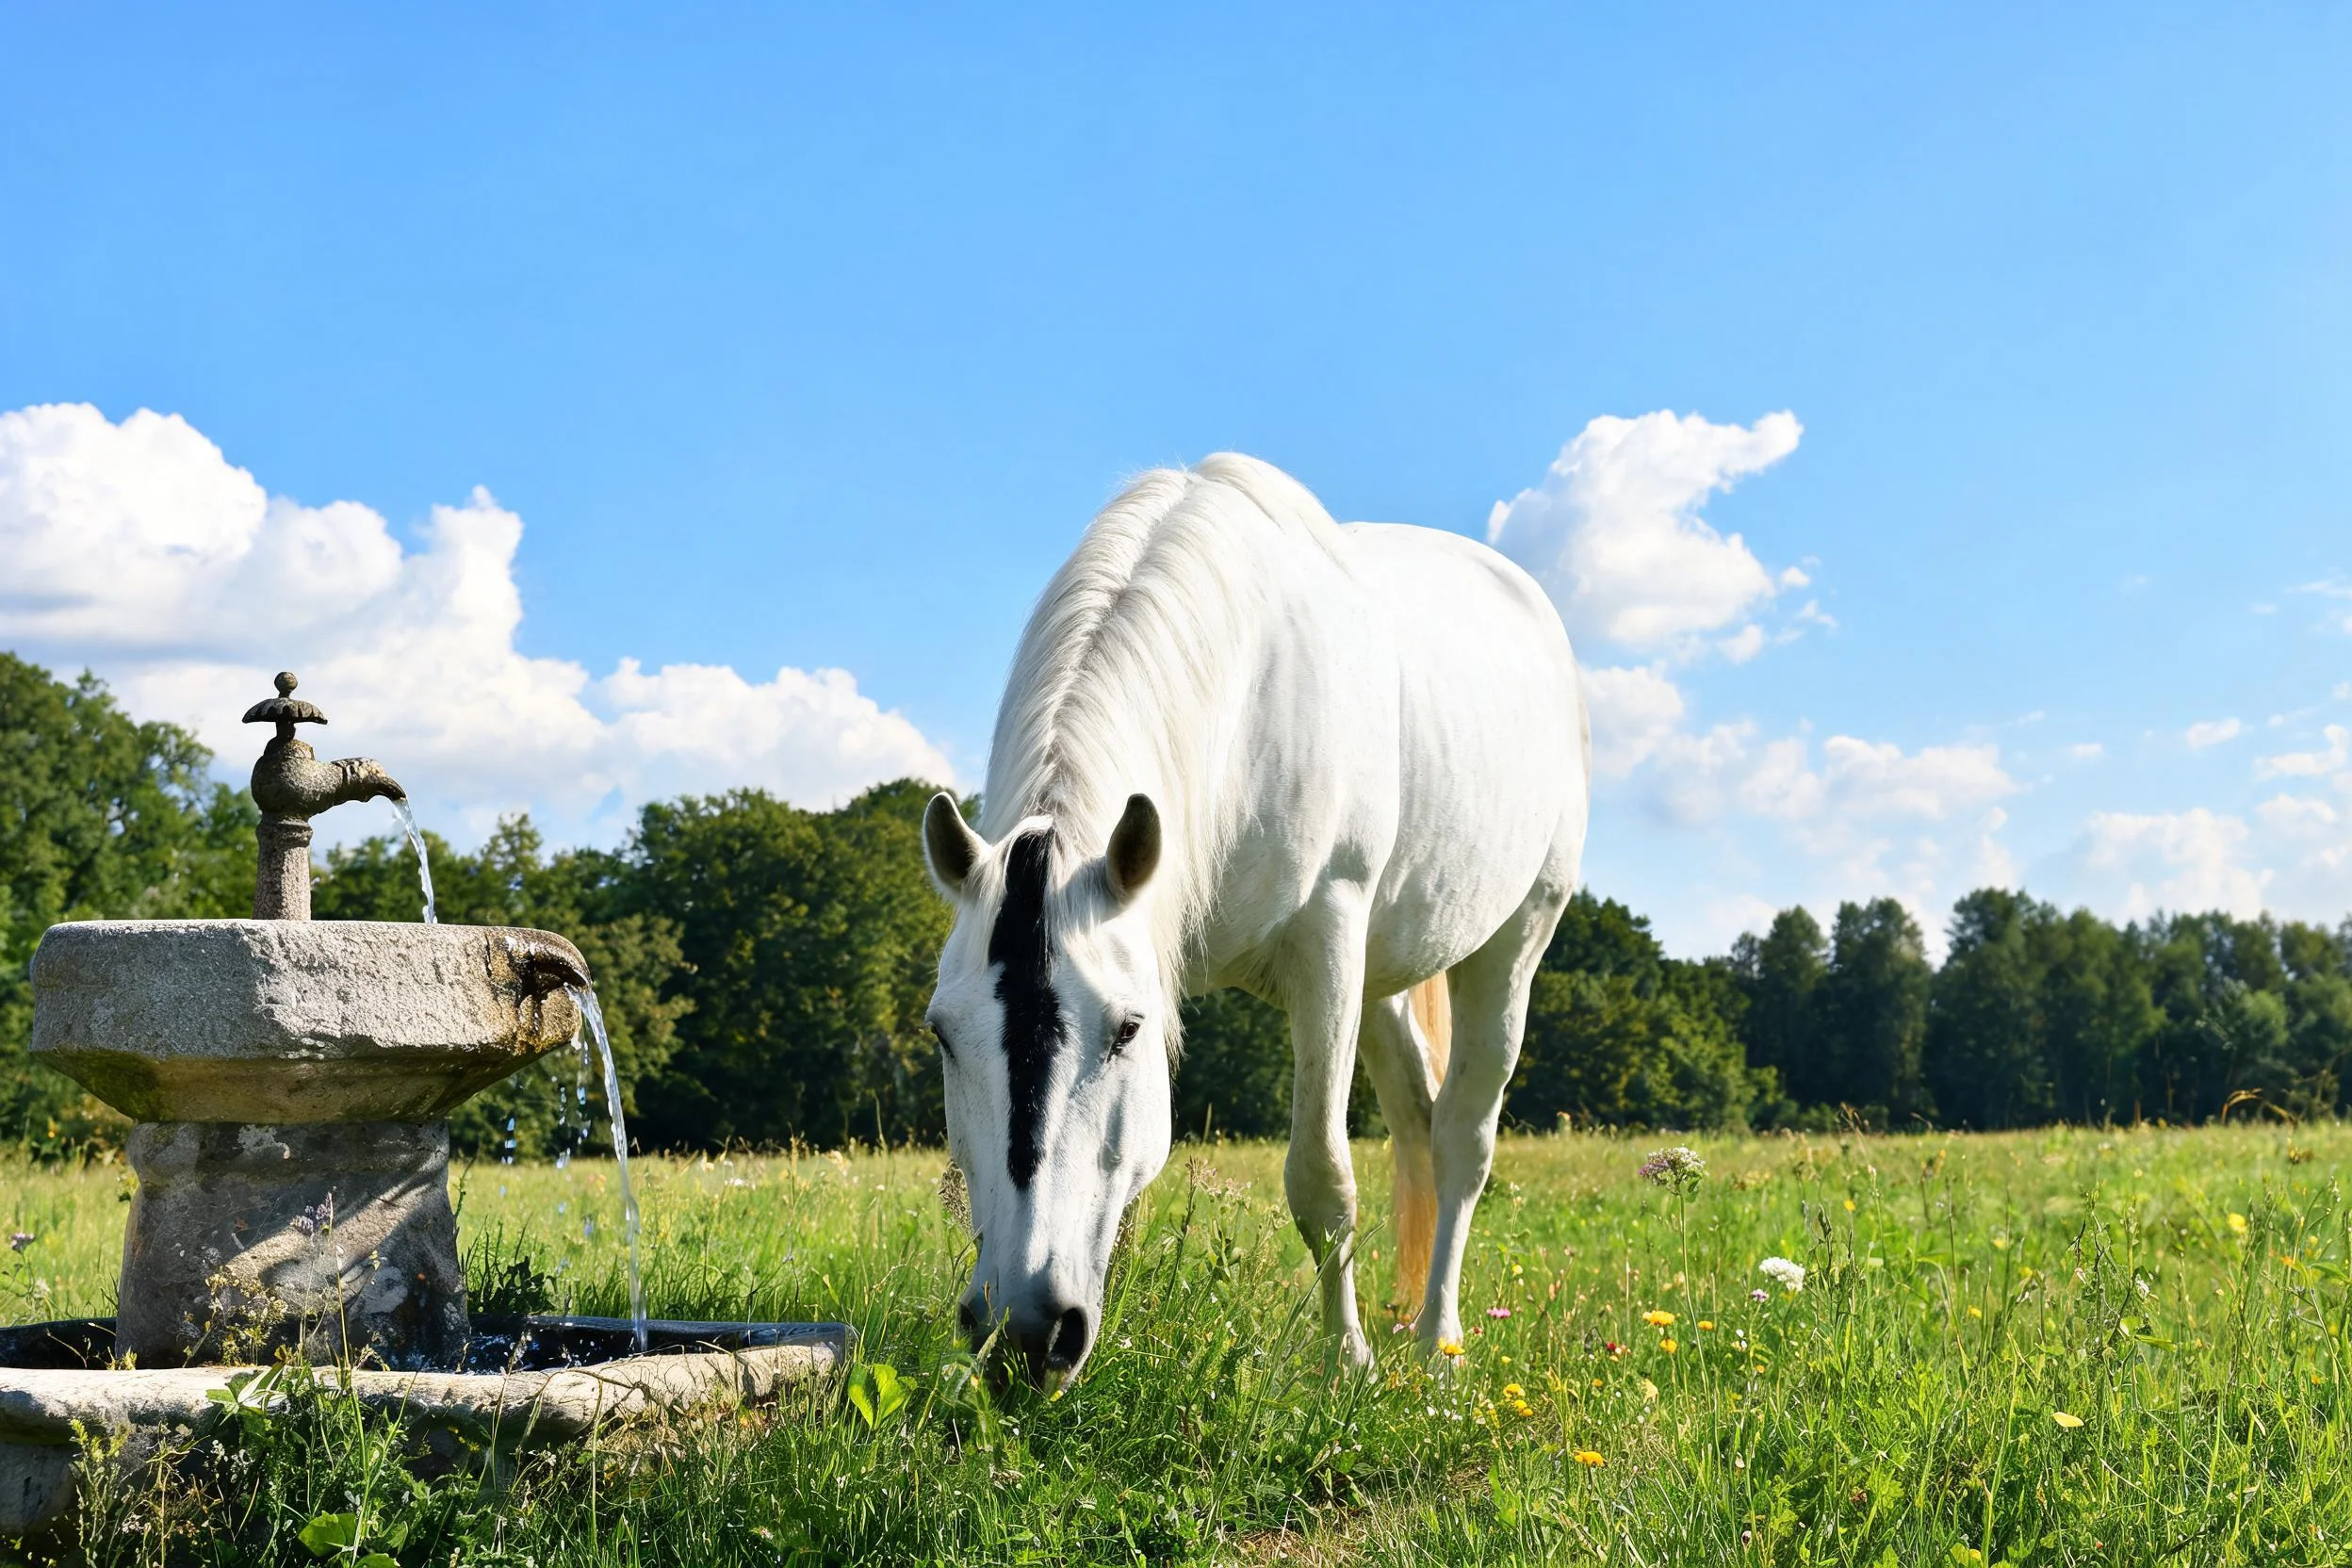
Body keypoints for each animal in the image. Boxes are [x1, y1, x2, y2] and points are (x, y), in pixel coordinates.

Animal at [922, 453, 1589, 1383]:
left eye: (1127, 1030)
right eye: (944, 1035)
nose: (1024, 1332)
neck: (1243, 705)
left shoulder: (1328, 942)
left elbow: (1322, 1179)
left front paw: (1346, 1362)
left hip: (1513, 938)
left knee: (1462, 1138)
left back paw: (1435, 1340)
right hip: (1380, 978)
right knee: (1418, 1121)